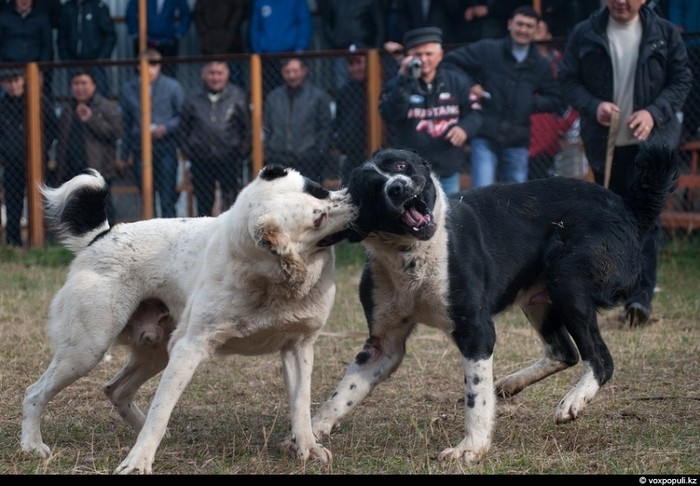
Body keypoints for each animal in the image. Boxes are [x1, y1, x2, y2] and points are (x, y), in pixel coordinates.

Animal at [20, 165, 356, 472]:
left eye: (319, 190)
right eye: (318, 218)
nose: (355, 198)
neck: (268, 278)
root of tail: (101, 236)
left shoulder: (298, 346)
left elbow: (301, 405)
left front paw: (308, 447)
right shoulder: (188, 349)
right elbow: (160, 410)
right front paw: (138, 462)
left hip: (155, 352)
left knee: (115, 389)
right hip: (86, 350)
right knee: (35, 392)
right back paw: (32, 446)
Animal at [312, 147, 680, 464]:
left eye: (401, 165)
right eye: (372, 186)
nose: (399, 187)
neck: (413, 255)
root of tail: (626, 209)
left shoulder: (476, 331)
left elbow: (476, 397)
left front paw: (471, 447)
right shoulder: (383, 345)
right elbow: (343, 393)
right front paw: (311, 433)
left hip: (568, 280)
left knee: (600, 359)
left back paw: (572, 401)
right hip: (539, 299)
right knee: (564, 352)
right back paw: (512, 383)